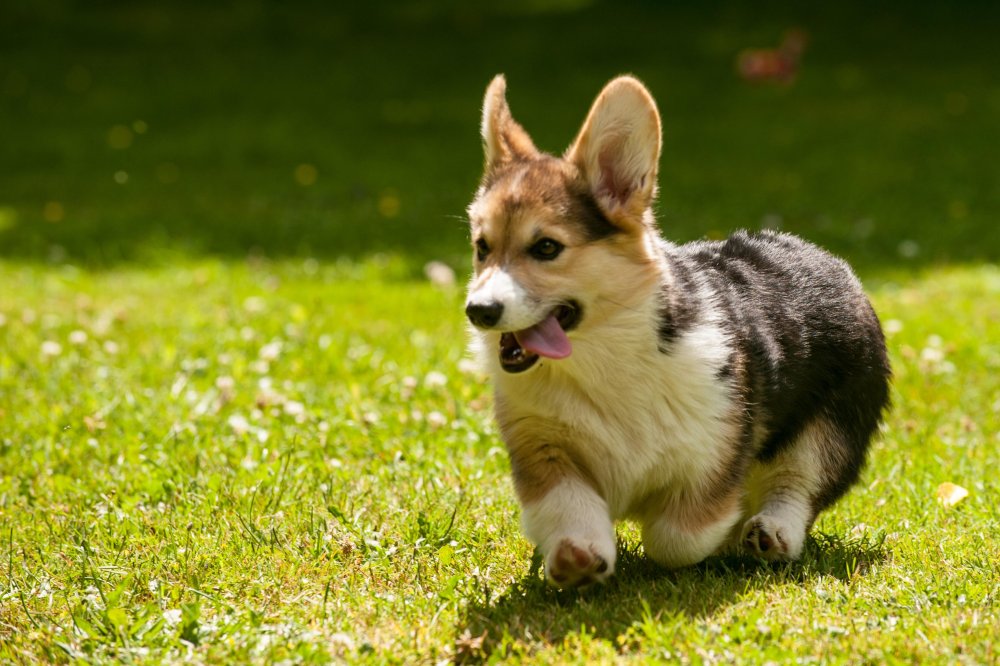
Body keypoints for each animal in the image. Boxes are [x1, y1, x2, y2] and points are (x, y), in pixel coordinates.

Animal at [462, 74, 892, 588]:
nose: (478, 311)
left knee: (796, 484)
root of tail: (828, 258)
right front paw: (578, 556)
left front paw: (719, 535)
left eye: (546, 247)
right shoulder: (544, 448)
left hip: (831, 426)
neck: (602, 355)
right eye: (482, 248)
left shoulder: (715, 453)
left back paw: (770, 533)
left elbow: (675, 537)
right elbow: (569, 506)